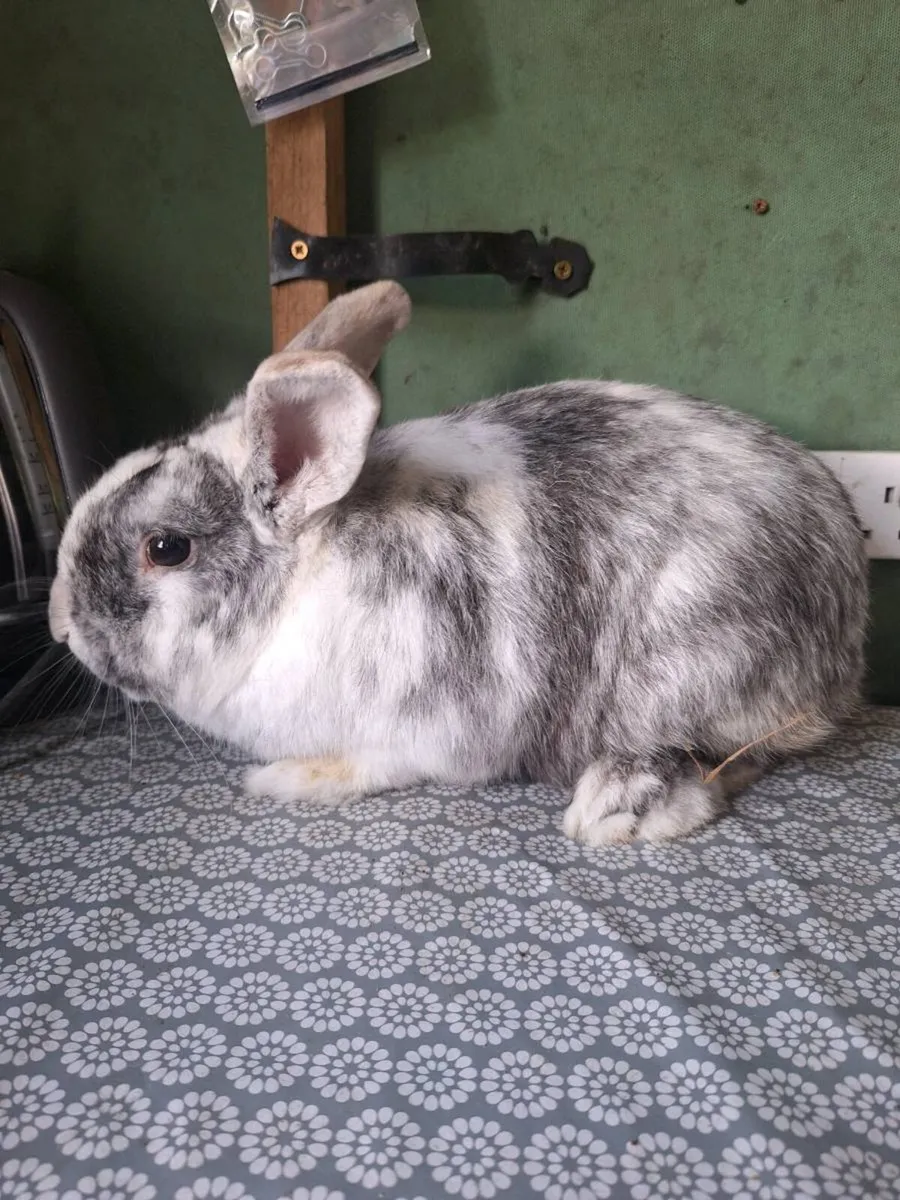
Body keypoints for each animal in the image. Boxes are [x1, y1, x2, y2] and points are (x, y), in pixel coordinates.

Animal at [48, 282, 868, 845]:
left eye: (166, 548)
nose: (59, 623)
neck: (300, 582)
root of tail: (848, 625)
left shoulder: (422, 730)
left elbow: (370, 767)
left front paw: (286, 780)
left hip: (685, 668)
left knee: (725, 757)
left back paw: (616, 807)